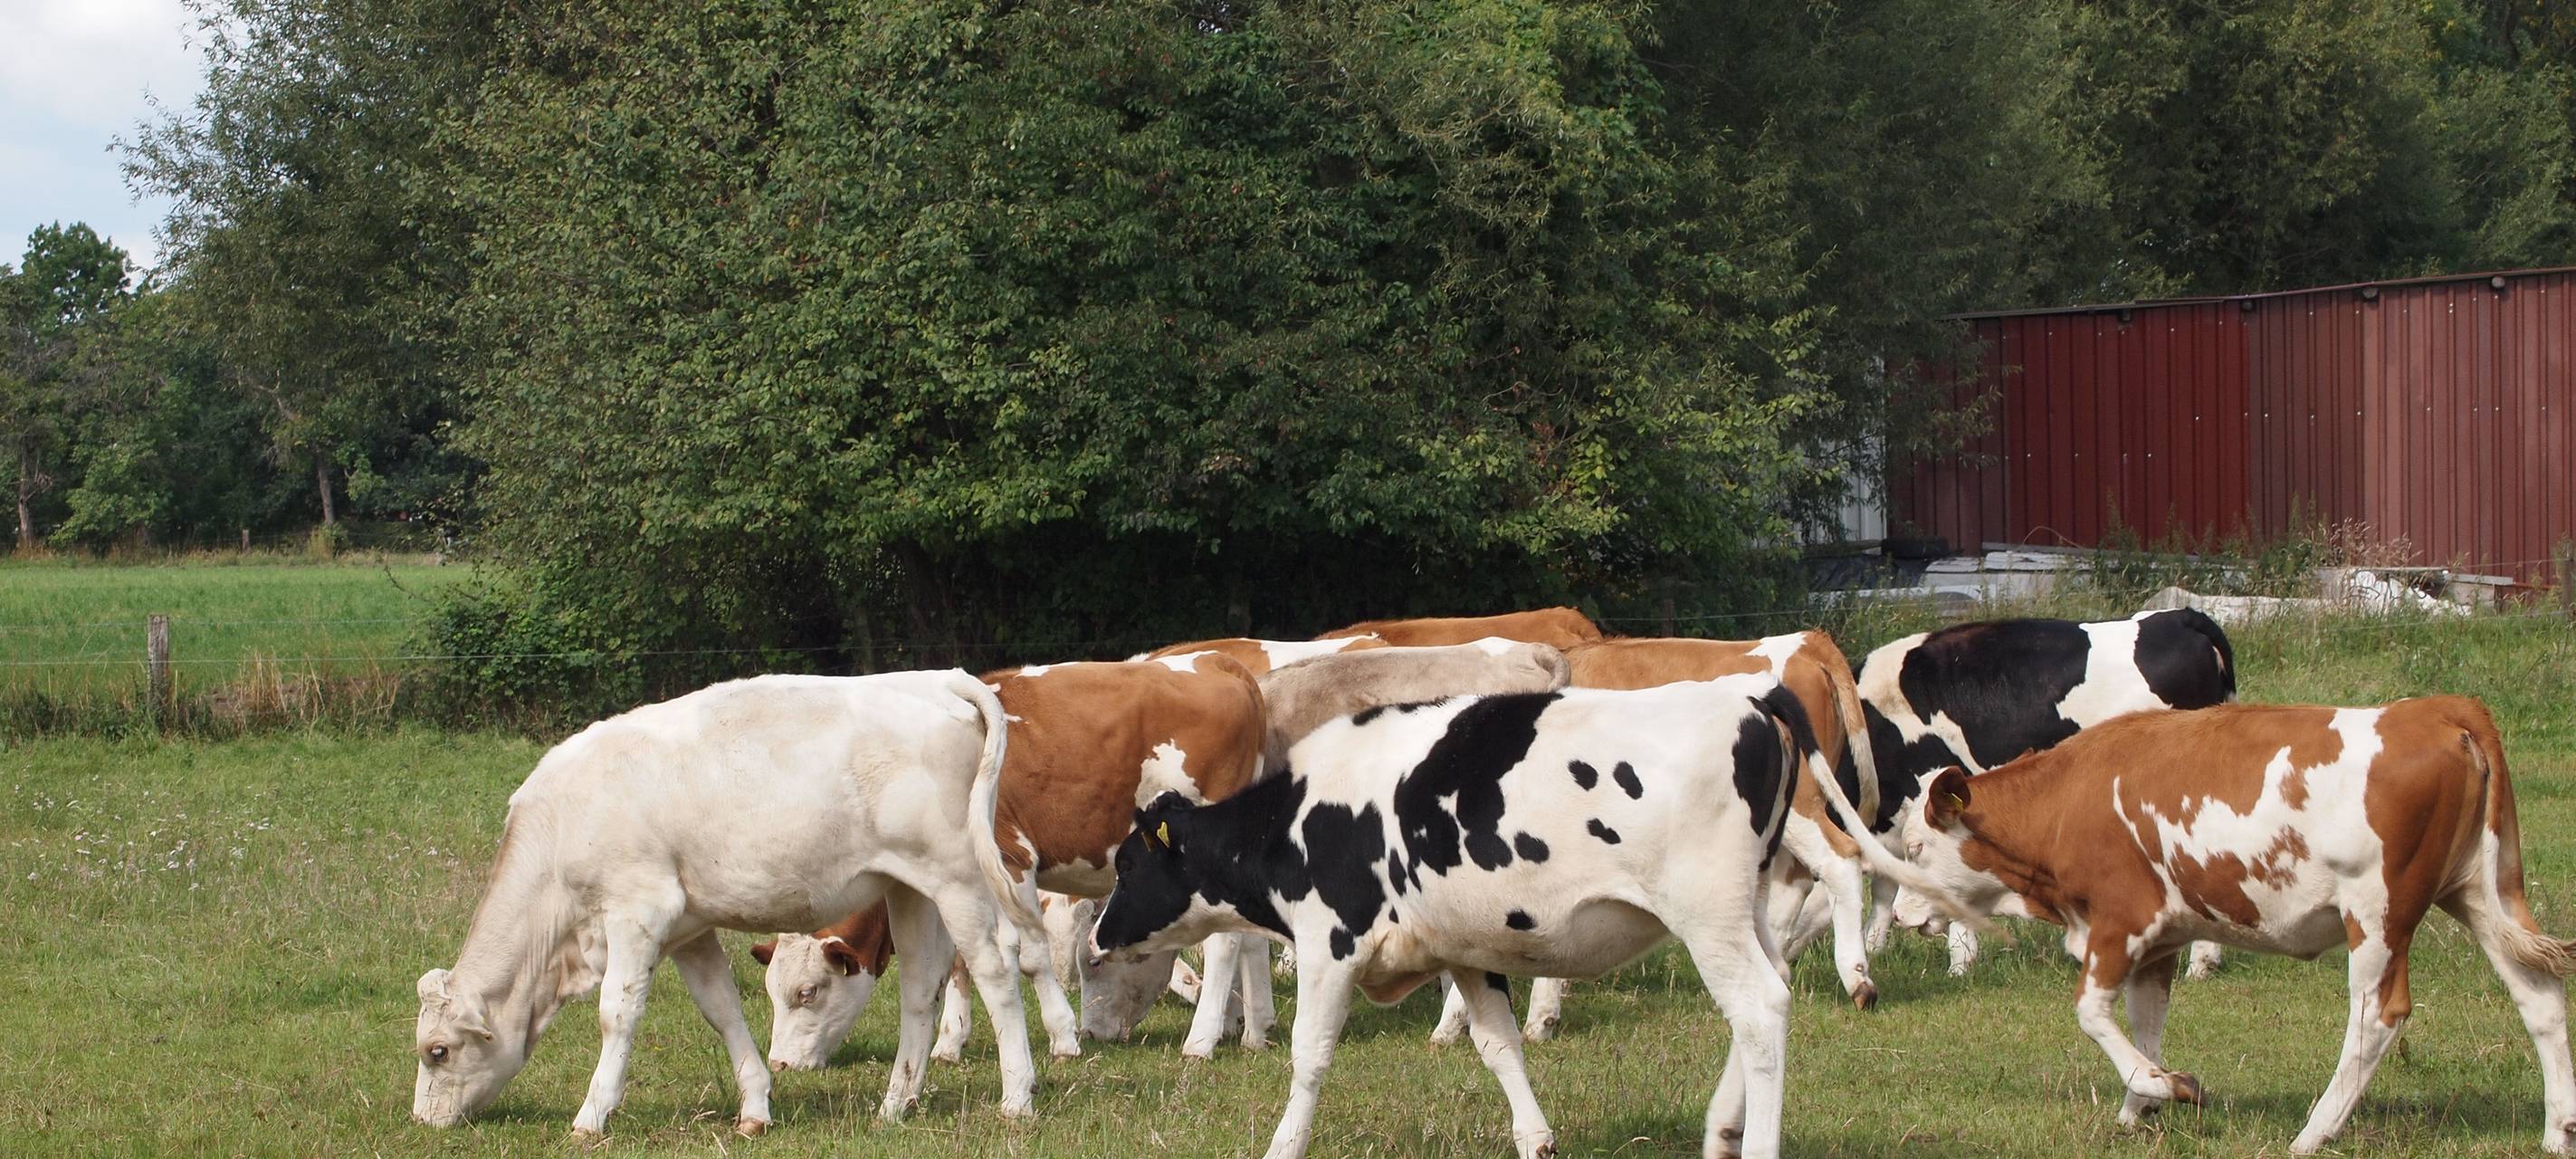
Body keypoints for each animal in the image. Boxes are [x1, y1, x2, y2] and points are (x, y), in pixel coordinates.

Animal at [411, 671, 1039, 1135]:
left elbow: (617, 1013)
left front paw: (592, 1115)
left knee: (995, 968)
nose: (421, 1120)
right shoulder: (687, 928)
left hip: (958, 877)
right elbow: (722, 1009)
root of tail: (936, 678)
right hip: (908, 885)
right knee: (919, 987)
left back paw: (1017, 1098)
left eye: (437, 1051)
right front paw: (755, 1109)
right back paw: (895, 1103)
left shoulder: (638, 911)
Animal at [761, 653, 1275, 1067]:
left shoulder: (1010, 858)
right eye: (772, 992)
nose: (781, 1064)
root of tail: (1216, 662)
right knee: (1249, 939)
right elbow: (961, 960)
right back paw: (1249, 1029)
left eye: (807, 992)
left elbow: (1029, 957)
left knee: (1224, 943)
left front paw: (1063, 1037)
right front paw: (950, 1042)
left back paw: (1202, 1039)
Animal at [1087, 675, 1976, 1159]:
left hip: (1707, 912)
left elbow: (1310, 1055)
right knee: (1771, 992)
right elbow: (1498, 1047)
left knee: (1759, 1008)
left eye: (1129, 865)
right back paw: (1722, 1128)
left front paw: (1283, 1142)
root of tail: (1746, 695)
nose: (1097, 939)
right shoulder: (1465, 951)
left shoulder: (1329, 941)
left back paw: (1752, 1141)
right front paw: (1535, 1136)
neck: (1300, 815)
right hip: (1748, 906)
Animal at [1891, 697, 2576, 1155]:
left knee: (2377, 1016)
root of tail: (2439, 708)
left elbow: (2091, 1012)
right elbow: (2146, 1021)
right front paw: (2139, 1106)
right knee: (2538, 995)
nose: (1898, 916)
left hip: (2378, 912)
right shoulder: (2162, 938)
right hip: (2484, 891)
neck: (2067, 799)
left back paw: (2313, 1131)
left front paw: (2165, 1087)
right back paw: (2557, 1130)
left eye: (1918, 847)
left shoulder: (2122, 920)